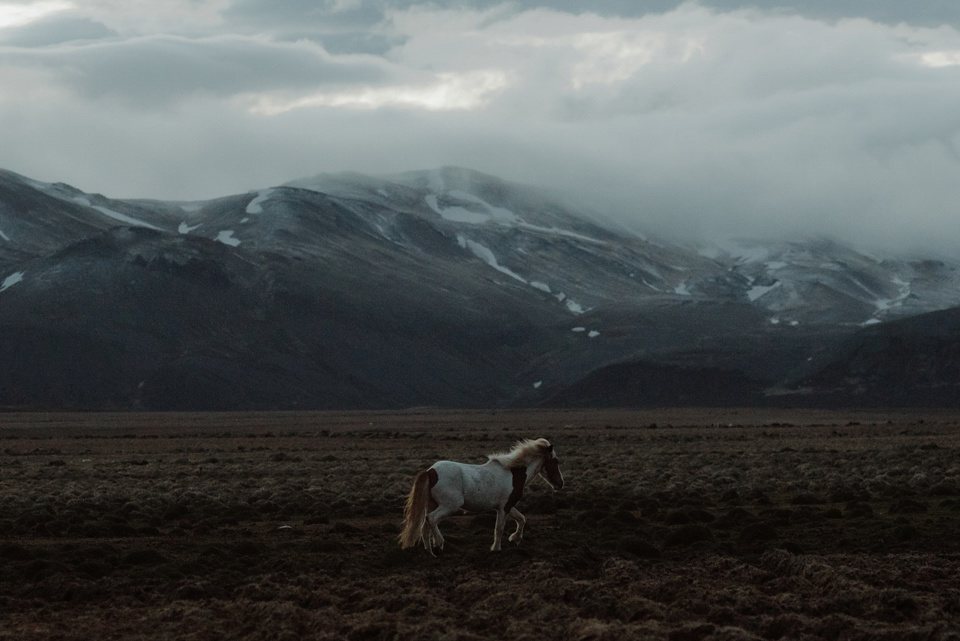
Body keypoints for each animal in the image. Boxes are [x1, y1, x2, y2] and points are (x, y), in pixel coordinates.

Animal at [396, 438, 564, 552]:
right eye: (555, 461)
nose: (560, 483)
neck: (514, 474)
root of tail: (430, 471)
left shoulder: (507, 506)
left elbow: (522, 519)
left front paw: (515, 539)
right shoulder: (504, 507)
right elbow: (499, 528)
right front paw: (496, 548)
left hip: (432, 504)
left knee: (425, 524)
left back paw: (429, 550)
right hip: (450, 506)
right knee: (431, 519)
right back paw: (439, 544)